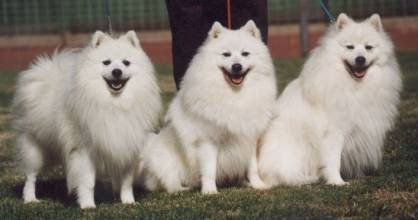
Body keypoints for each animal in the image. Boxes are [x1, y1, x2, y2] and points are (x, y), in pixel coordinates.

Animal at [13, 31, 162, 208]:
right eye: (106, 62)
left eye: (126, 63)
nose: (117, 71)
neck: (115, 103)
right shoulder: (85, 150)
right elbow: (88, 181)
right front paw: (87, 205)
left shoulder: (127, 146)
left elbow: (126, 181)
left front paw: (128, 201)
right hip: (35, 147)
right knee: (31, 176)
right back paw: (30, 198)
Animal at [140, 20, 278, 192]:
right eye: (226, 54)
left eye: (245, 54)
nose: (237, 66)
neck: (235, 95)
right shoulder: (208, 140)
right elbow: (209, 169)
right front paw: (209, 190)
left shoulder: (250, 136)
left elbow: (252, 167)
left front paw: (257, 184)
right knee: (169, 182)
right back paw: (183, 188)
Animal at [258, 13, 402, 186]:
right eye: (350, 47)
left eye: (368, 47)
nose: (360, 59)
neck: (354, 85)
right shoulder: (334, 132)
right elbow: (333, 160)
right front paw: (337, 181)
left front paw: (358, 175)